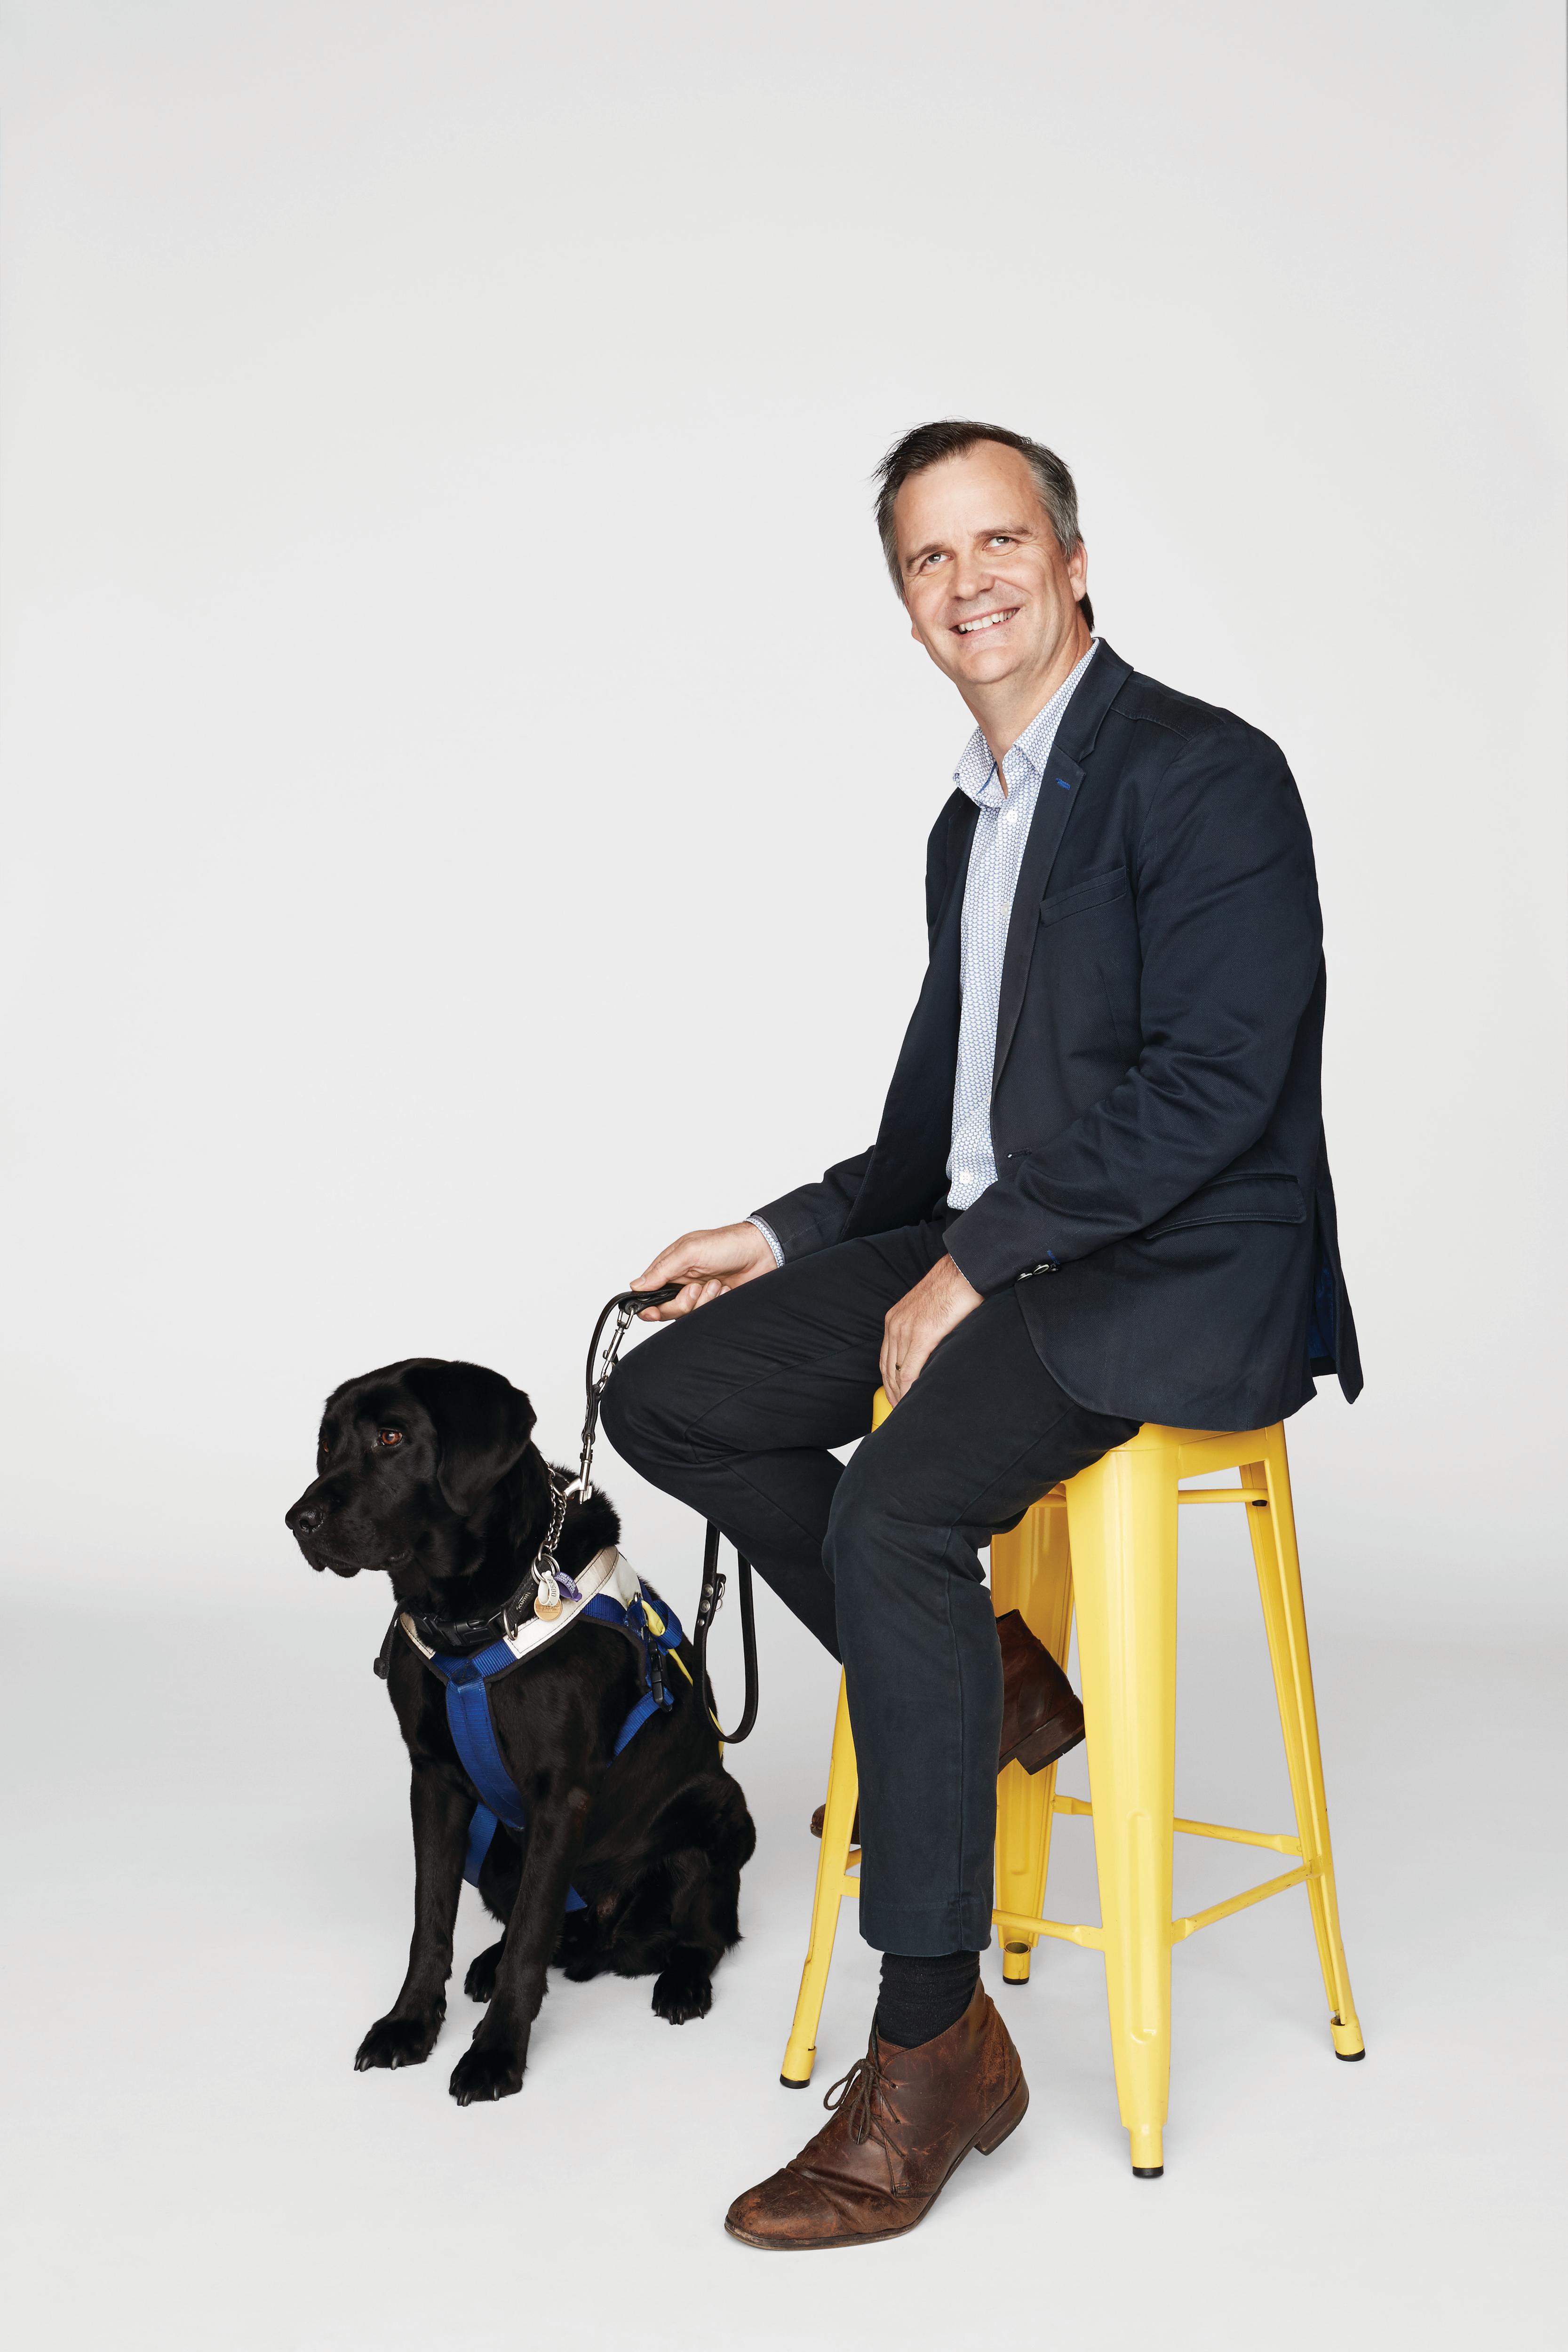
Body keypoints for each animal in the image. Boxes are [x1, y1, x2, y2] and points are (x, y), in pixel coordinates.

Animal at [293, 1355, 762, 2107]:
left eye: (391, 1437)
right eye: (328, 1444)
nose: (296, 1520)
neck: (467, 1617)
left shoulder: (559, 1795)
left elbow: (531, 1937)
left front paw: (495, 2056)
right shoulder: (432, 1779)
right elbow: (431, 1920)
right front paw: (410, 2023)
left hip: (721, 1813)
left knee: (709, 1927)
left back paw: (682, 1980)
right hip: (498, 1857)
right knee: (548, 1931)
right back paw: (493, 1962)